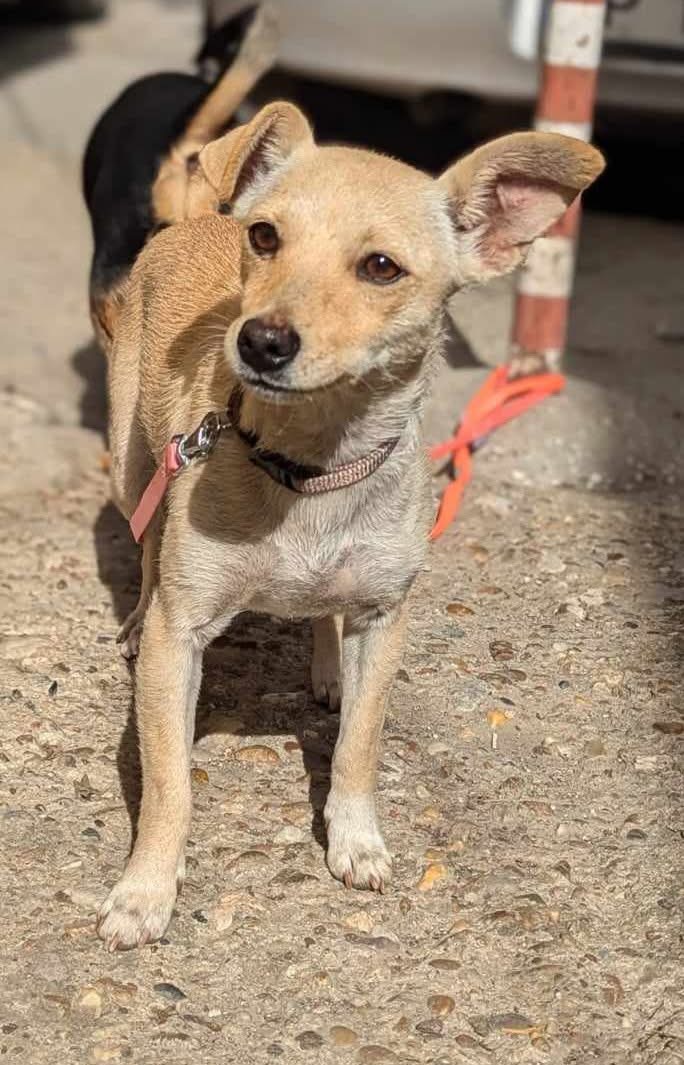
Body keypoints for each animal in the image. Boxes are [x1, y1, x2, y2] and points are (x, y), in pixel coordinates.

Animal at [96, 100, 604, 949]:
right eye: (265, 236)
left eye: (381, 268)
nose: (260, 340)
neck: (311, 468)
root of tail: (196, 217)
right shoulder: (183, 635)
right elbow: (170, 783)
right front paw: (146, 889)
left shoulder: (383, 618)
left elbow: (360, 746)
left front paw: (356, 837)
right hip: (136, 461)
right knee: (145, 545)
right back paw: (137, 613)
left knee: (321, 616)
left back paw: (327, 669)